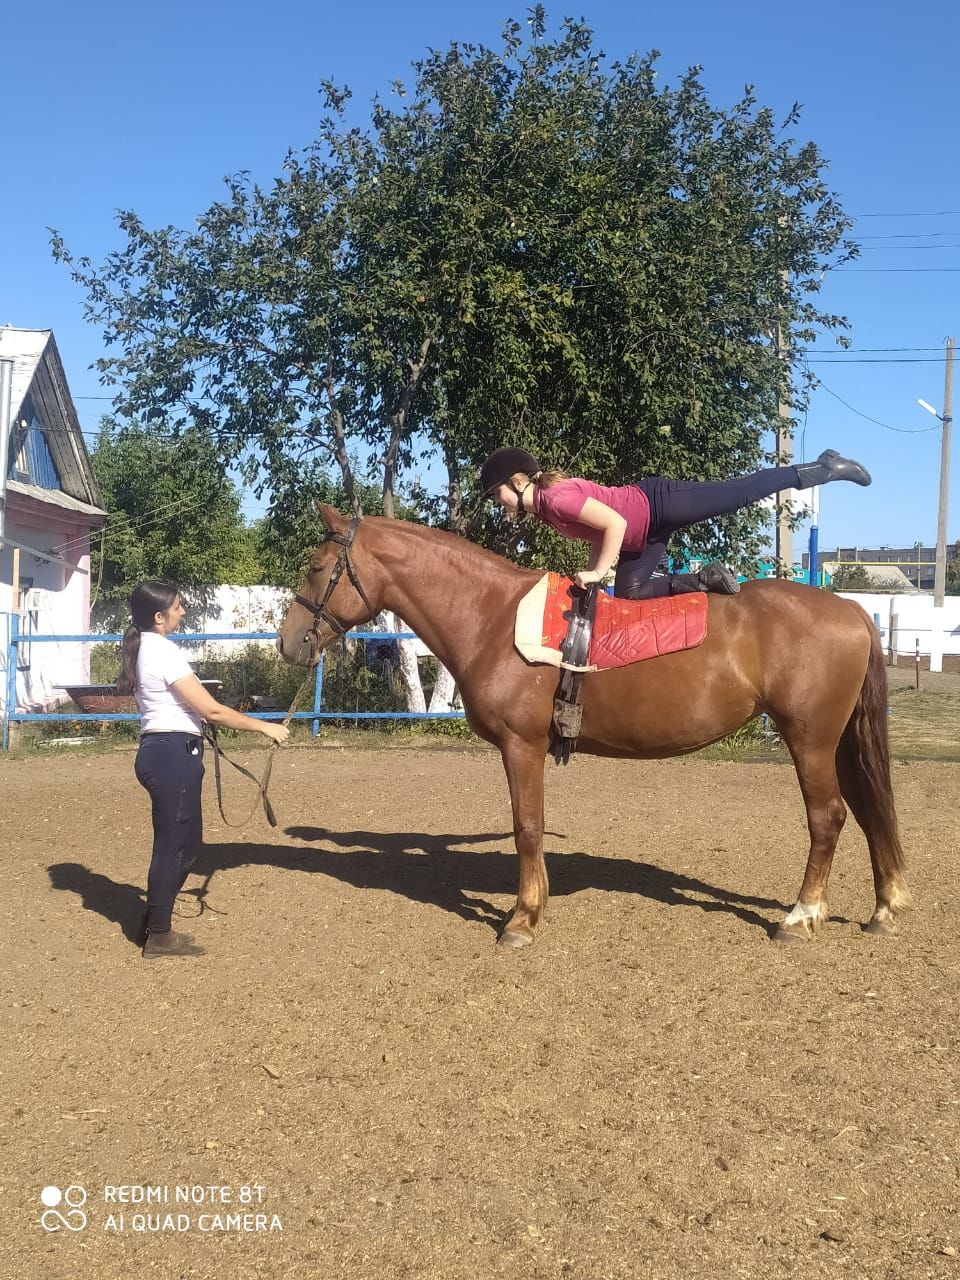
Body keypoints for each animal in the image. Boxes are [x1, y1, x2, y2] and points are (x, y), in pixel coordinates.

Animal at [276, 504, 911, 947]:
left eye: (315, 568)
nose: (288, 644)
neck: (493, 616)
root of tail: (850, 609)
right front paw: (534, 906)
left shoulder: (521, 746)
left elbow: (527, 827)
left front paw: (522, 919)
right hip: (835, 742)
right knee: (866, 810)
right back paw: (883, 907)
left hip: (810, 740)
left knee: (827, 819)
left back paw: (799, 917)